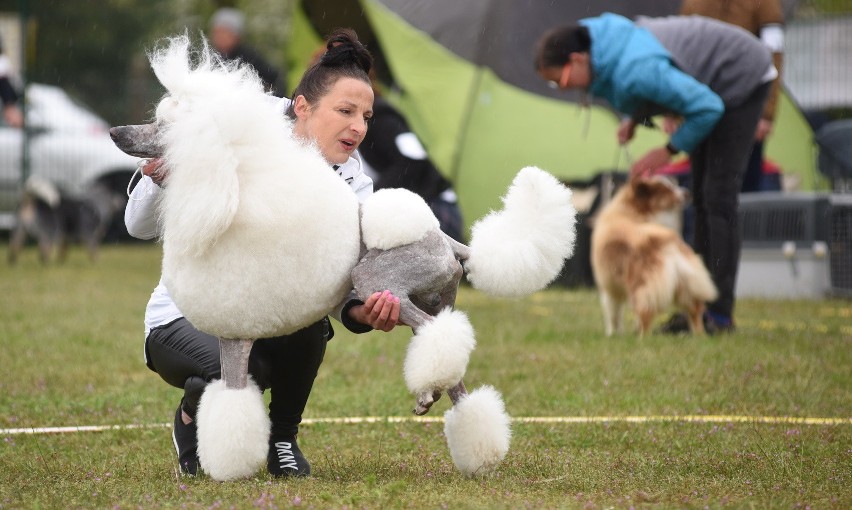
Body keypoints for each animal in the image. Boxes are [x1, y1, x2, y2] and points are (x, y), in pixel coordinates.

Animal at [592, 175, 720, 334]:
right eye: (666, 190)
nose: (687, 193)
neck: (632, 212)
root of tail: (668, 243)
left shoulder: (610, 287)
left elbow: (613, 315)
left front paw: (613, 334)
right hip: (687, 286)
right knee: (695, 312)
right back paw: (699, 336)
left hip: (642, 288)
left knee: (645, 315)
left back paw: (642, 337)